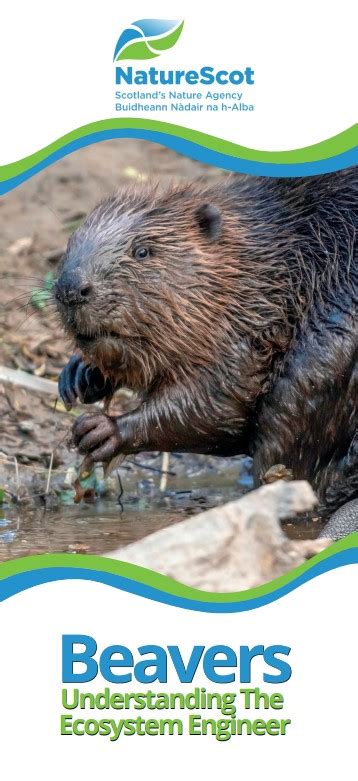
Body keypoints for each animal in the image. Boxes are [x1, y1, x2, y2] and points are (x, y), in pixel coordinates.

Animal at [54, 169, 356, 536]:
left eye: (142, 251)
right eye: (70, 244)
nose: (71, 288)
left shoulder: (251, 325)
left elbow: (221, 402)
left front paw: (100, 430)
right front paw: (78, 376)